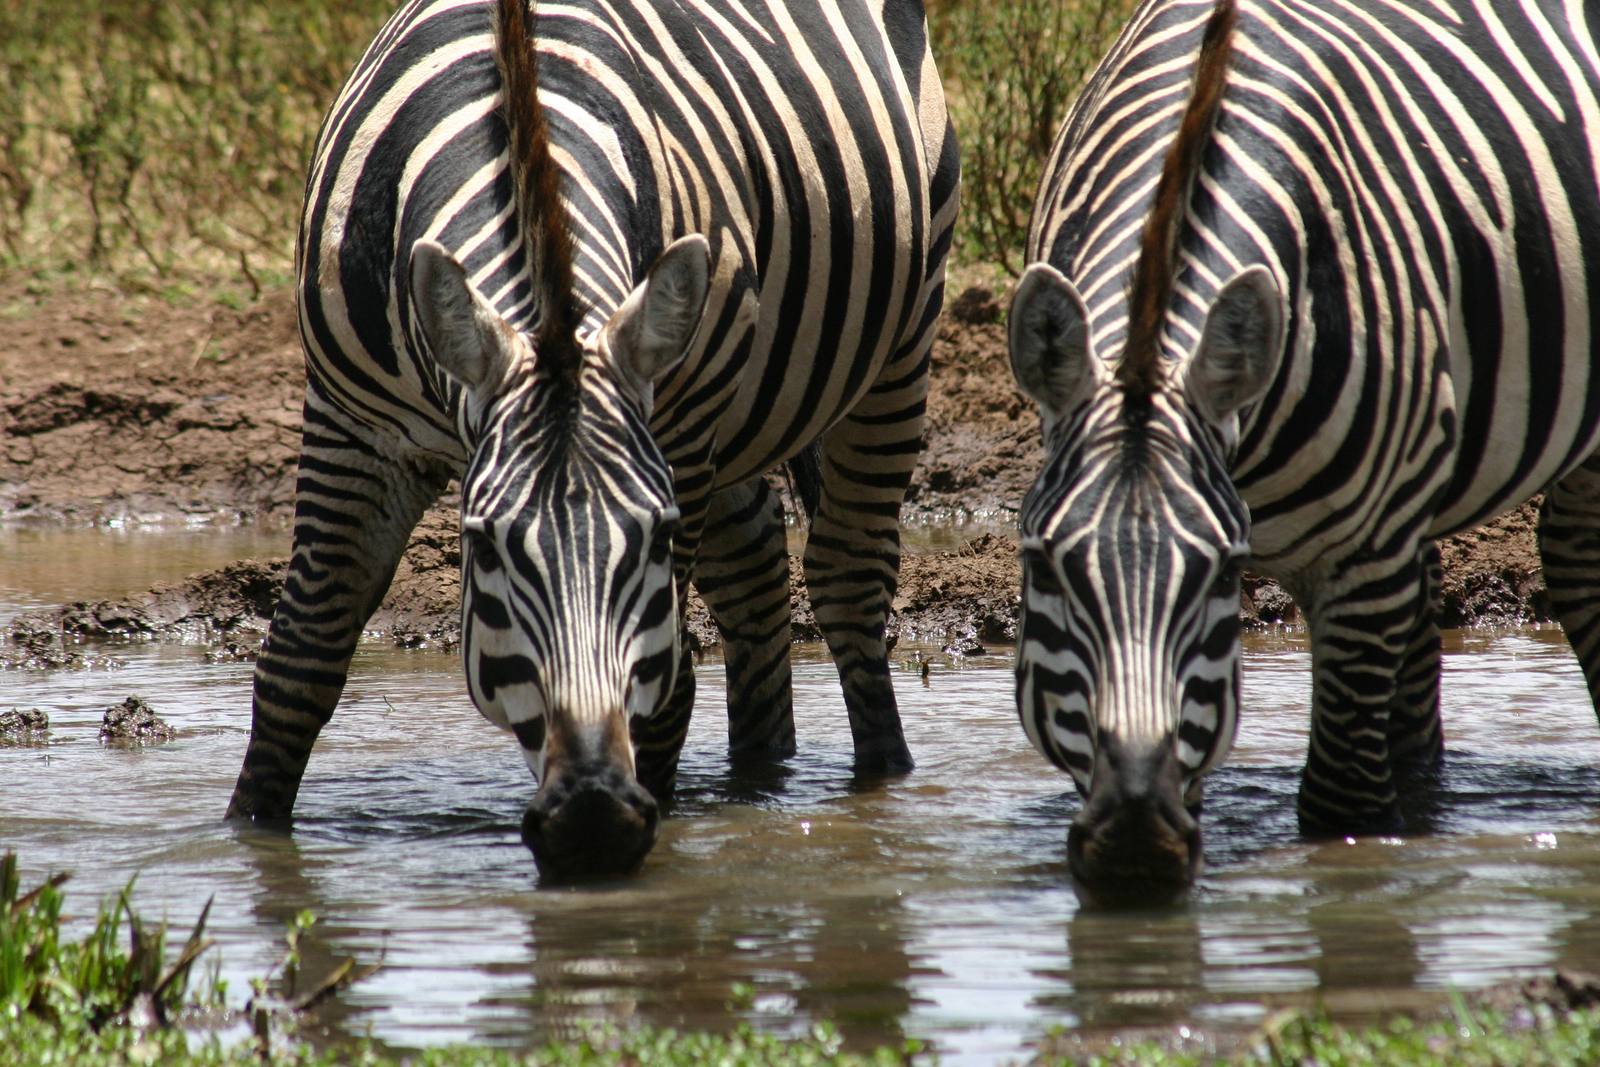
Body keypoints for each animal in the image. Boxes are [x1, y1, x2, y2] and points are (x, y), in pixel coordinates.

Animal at [225, 0, 958, 880]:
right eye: (485, 546)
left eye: (656, 537)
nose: (592, 818)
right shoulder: (352, 423)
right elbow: (303, 653)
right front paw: (251, 840)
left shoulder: (681, 430)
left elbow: (668, 686)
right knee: (753, 568)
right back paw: (760, 772)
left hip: (897, 338)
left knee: (847, 573)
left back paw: (882, 785)